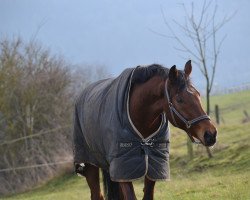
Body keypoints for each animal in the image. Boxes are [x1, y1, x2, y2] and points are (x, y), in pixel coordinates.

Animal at [72, 59, 217, 200]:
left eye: (198, 95)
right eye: (180, 99)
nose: (211, 134)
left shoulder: (153, 165)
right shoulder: (123, 167)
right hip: (90, 165)